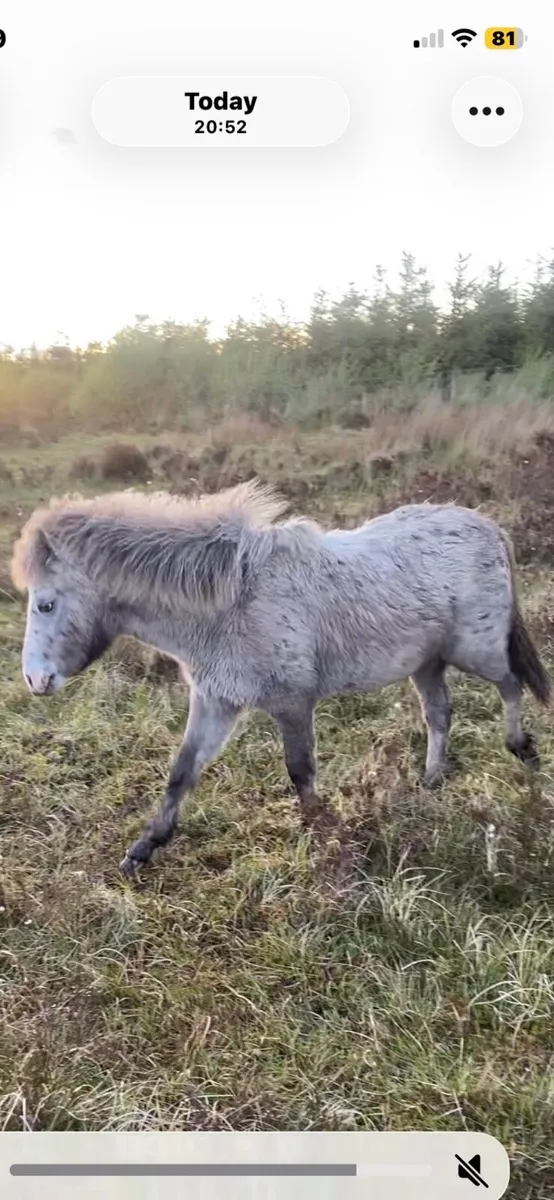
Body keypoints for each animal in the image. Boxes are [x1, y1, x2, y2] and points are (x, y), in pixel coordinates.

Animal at [11, 480, 550, 877]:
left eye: (46, 604)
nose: (35, 680)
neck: (232, 599)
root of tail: (487, 526)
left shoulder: (293, 703)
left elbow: (301, 773)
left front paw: (326, 845)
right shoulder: (216, 702)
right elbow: (182, 772)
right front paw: (143, 849)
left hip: (475, 649)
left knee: (510, 684)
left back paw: (522, 749)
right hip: (427, 663)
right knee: (440, 713)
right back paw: (432, 780)